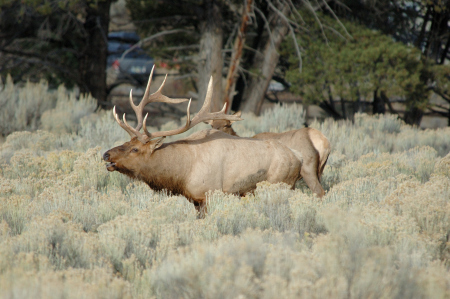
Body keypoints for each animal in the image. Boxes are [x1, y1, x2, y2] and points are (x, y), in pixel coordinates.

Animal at [103, 67, 304, 216]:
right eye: (126, 143)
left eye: (135, 149)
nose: (106, 154)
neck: (182, 172)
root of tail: (299, 156)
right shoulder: (195, 200)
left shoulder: (208, 194)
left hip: (281, 184)